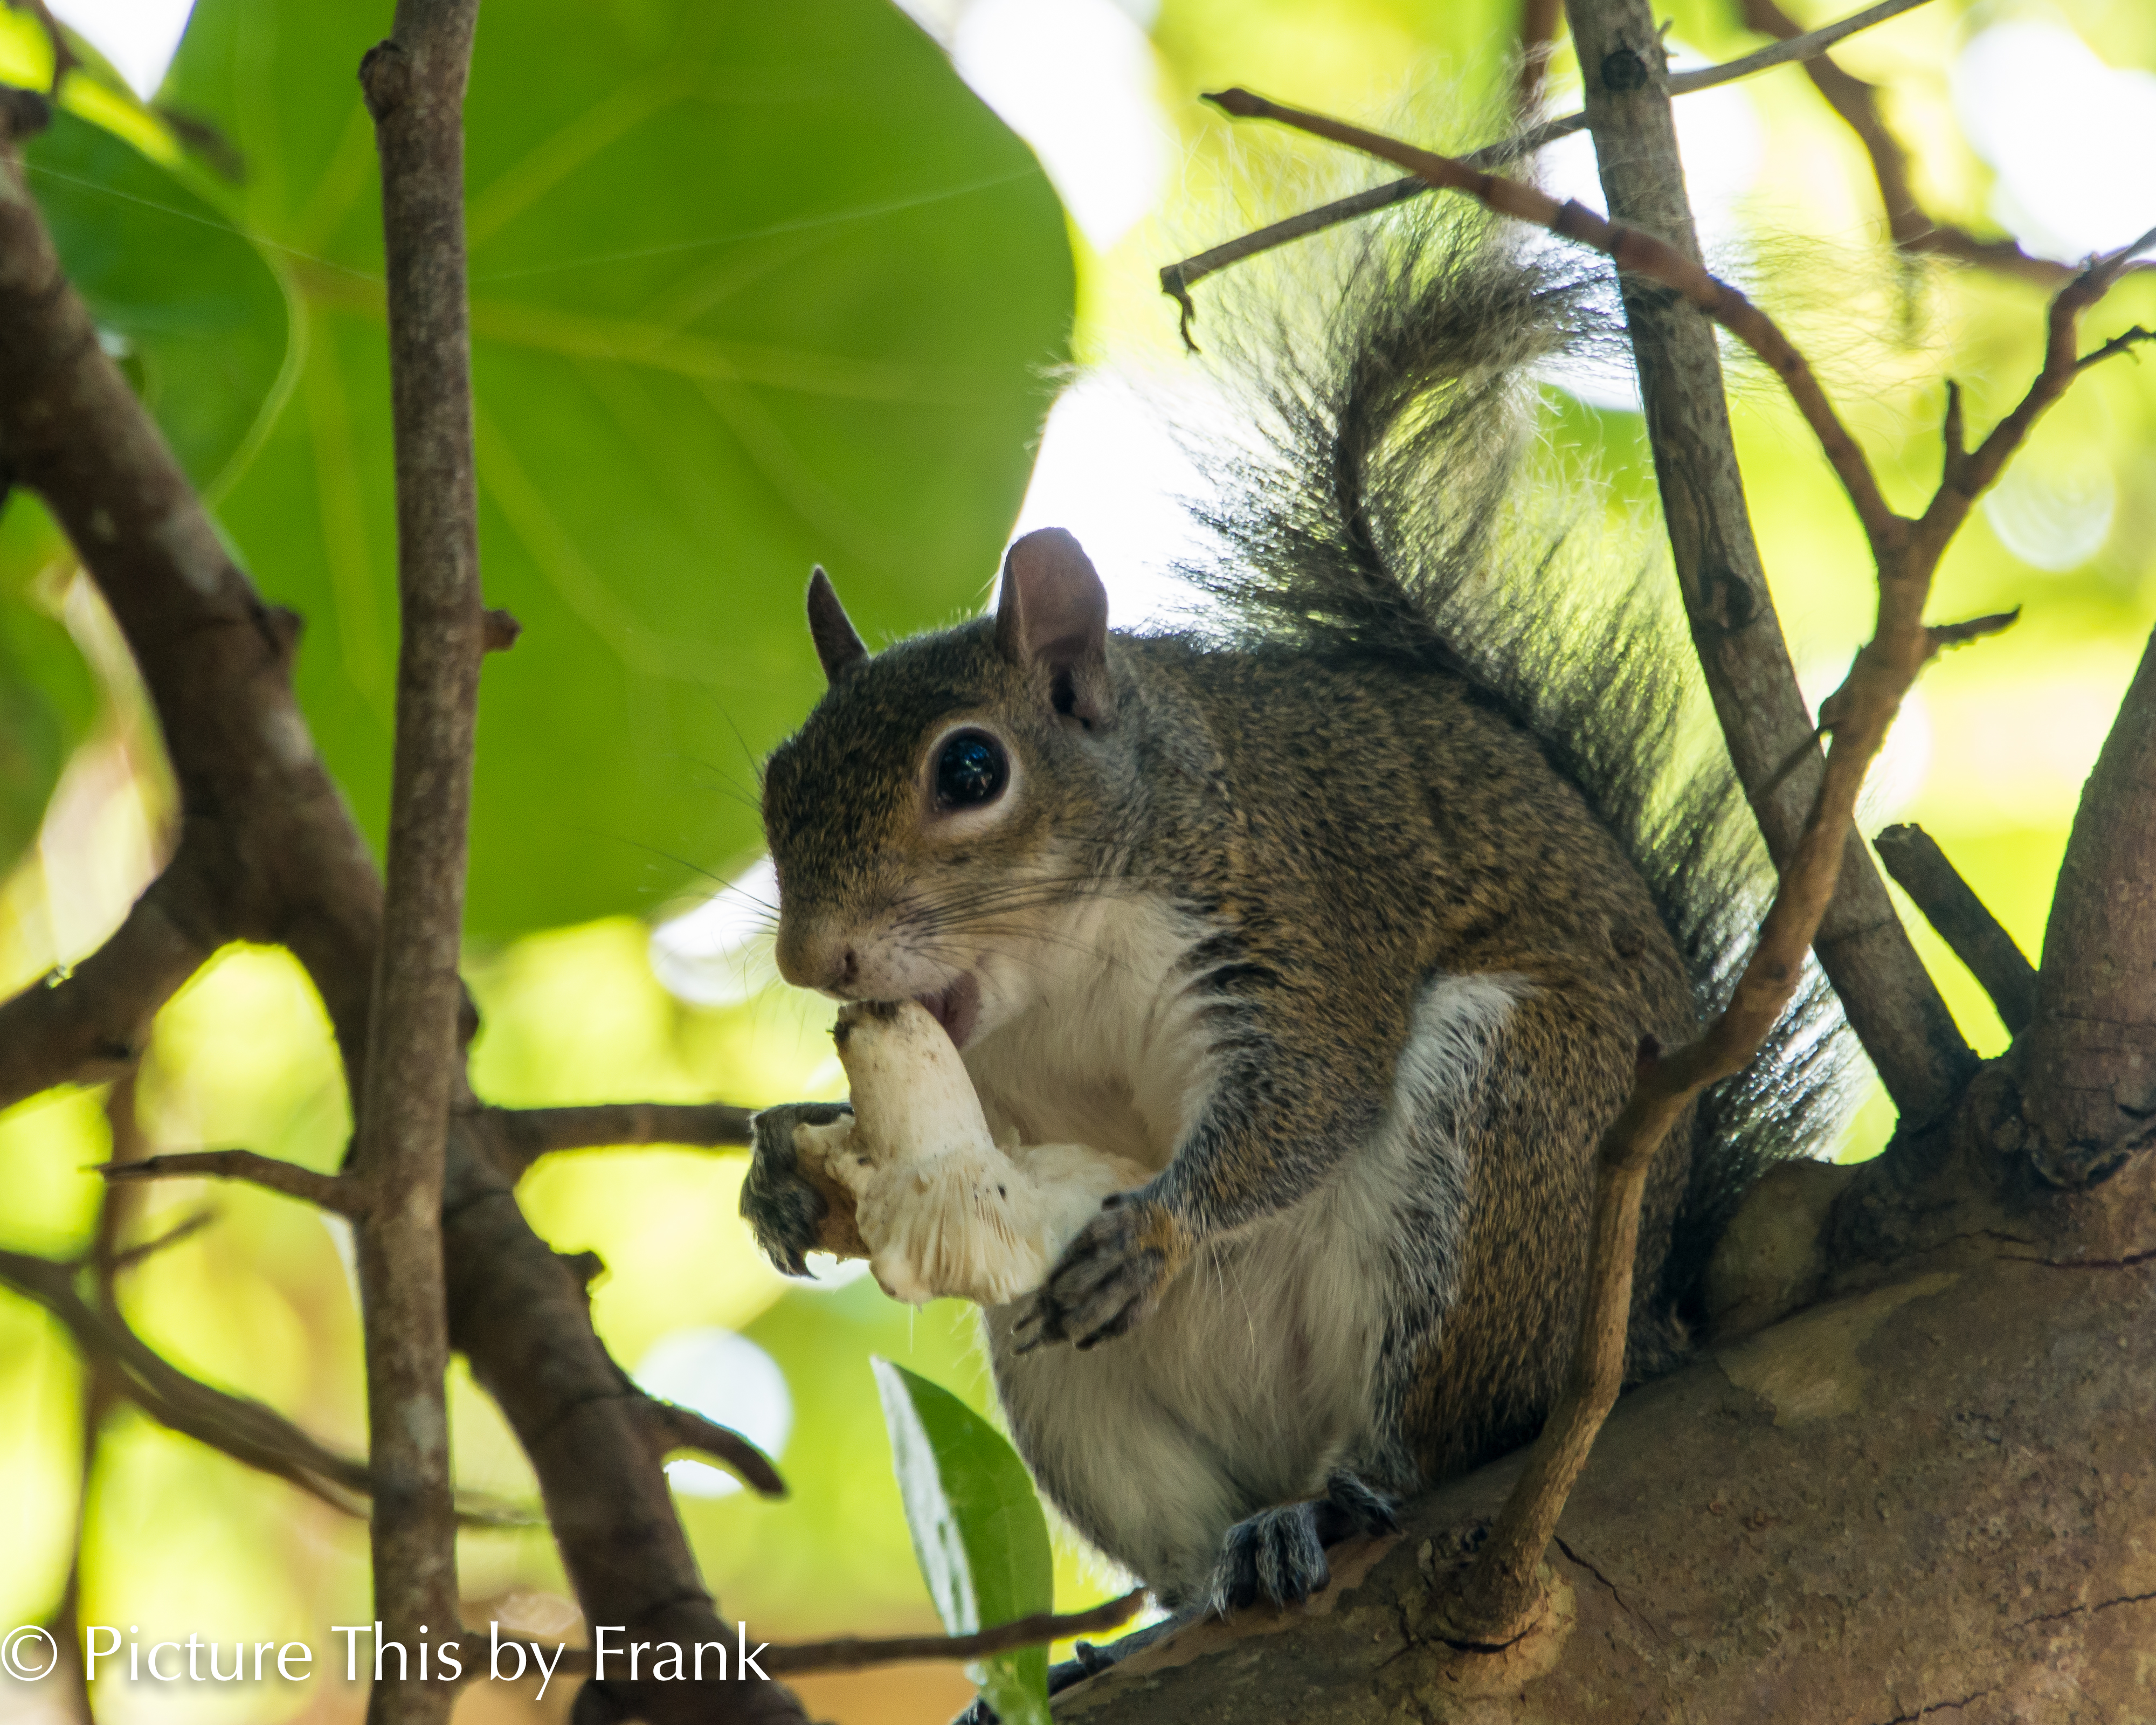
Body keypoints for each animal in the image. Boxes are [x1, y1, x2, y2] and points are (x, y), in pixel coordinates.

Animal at [739, 201, 1848, 1618]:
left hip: (1506, 1142)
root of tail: (1646, 1312)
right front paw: (785, 1168)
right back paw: (1201, 1578)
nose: (811, 957)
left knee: (1429, 1435)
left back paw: (1333, 1497)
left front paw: (1155, 1230)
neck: (1062, 967)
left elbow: (1310, 1094)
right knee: (1183, 1540)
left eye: (972, 770)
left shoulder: (1301, 910)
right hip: (1075, 1393)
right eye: (776, 779)